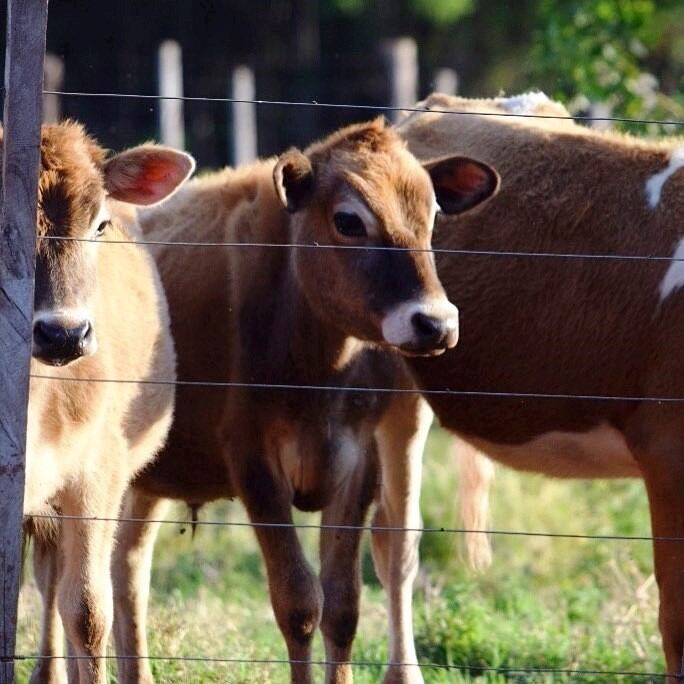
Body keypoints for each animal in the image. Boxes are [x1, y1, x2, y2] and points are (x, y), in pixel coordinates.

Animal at [109, 119, 500, 684]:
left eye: (431, 216)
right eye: (348, 220)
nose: (435, 323)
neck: (318, 371)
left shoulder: (360, 459)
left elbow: (342, 605)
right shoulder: (252, 460)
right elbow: (297, 602)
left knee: (126, 565)